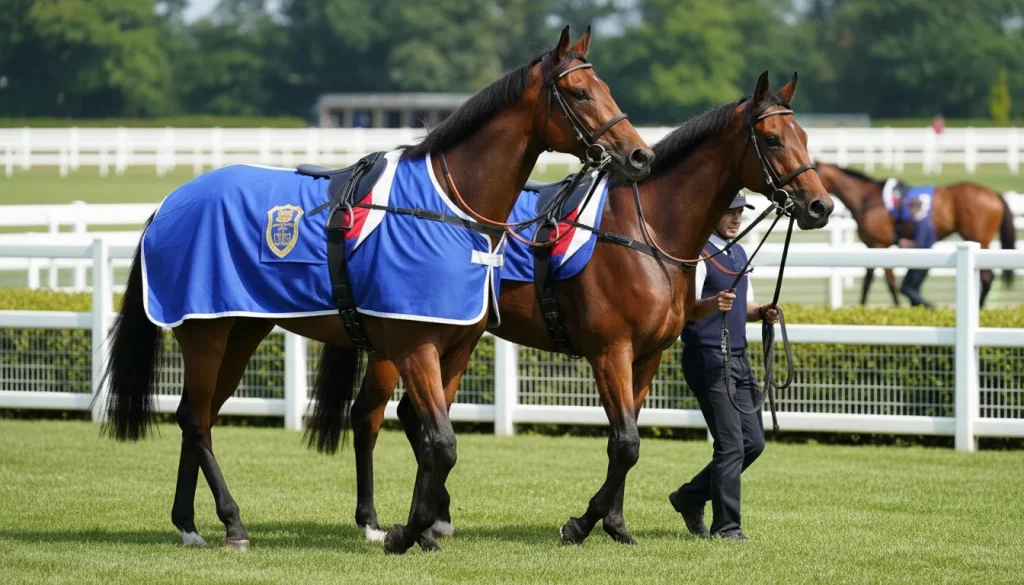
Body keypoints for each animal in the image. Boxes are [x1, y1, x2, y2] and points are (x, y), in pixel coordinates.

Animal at [102, 25, 653, 555]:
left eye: (606, 88)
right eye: (579, 92)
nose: (639, 155)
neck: (447, 208)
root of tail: (167, 206)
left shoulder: (454, 346)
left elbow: (432, 440)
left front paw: (419, 528)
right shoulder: (414, 345)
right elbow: (440, 441)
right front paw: (407, 532)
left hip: (241, 330)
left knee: (199, 417)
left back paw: (189, 524)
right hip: (206, 334)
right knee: (196, 421)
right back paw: (232, 524)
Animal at [333, 71, 834, 546]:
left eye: (805, 136)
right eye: (773, 139)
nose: (821, 205)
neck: (645, 231)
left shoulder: (646, 356)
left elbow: (627, 439)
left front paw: (615, 523)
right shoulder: (610, 351)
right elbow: (625, 442)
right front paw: (582, 523)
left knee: (409, 417)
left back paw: (436, 515)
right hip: (397, 343)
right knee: (370, 416)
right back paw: (375, 521)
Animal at [814, 162, 1015, 307]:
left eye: (814, 171)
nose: (820, 204)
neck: (868, 199)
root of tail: (994, 194)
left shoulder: (881, 244)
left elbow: (889, 281)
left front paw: (896, 307)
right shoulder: (872, 246)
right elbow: (868, 281)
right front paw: (862, 306)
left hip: (979, 238)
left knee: (987, 277)